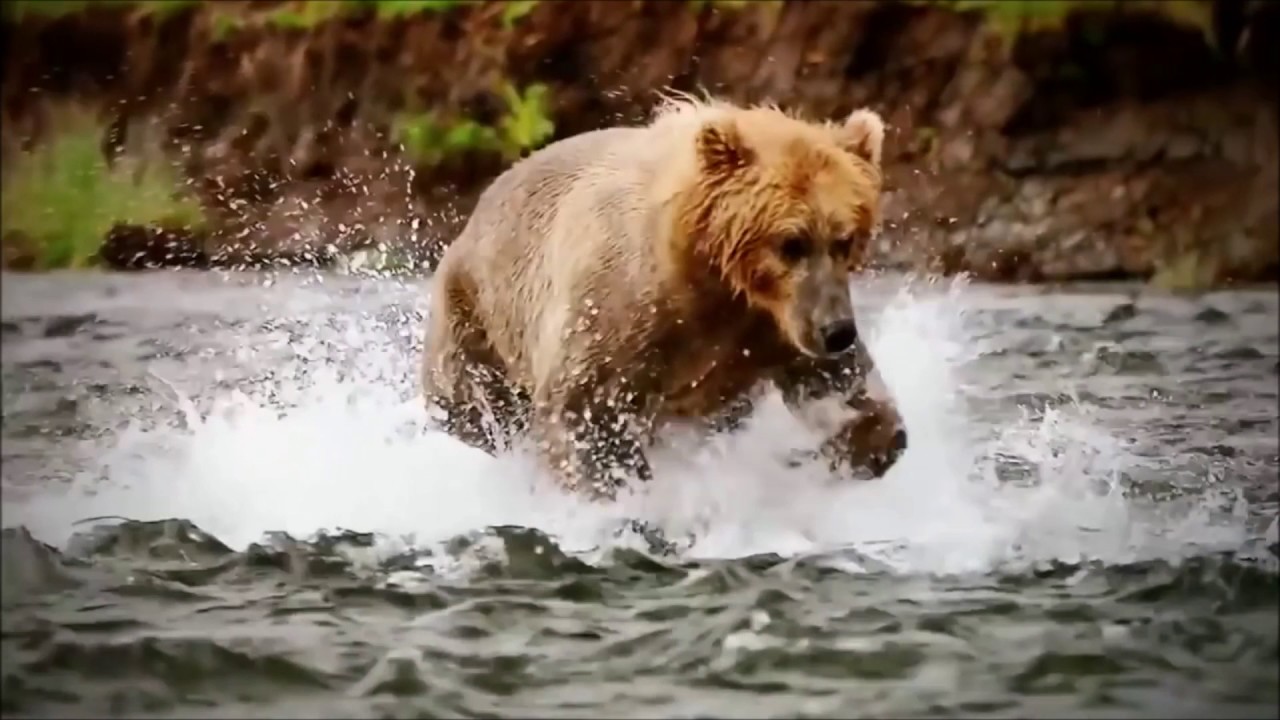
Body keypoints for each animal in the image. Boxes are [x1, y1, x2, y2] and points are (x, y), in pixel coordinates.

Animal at [420, 93, 906, 500]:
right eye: (792, 242)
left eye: (844, 239)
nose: (837, 331)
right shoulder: (621, 311)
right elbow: (583, 407)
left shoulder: (769, 329)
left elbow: (841, 388)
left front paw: (856, 443)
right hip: (476, 322)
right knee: (471, 403)